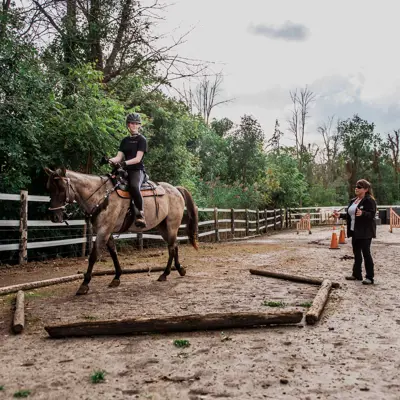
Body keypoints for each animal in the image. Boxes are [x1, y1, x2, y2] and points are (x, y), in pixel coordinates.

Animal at [44, 166, 198, 294]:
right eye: (48, 188)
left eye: (61, 188)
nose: (53, 216)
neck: (101, 195)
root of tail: (176, 189)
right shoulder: (107, 232)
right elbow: (113, 253)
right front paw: (116, 277)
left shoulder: (103, 231)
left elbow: (93, 256)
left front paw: (84, 284)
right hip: (162, 226)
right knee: (174, 244)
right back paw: (179, 269)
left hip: (172, 225)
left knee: (172, 247)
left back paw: (165, 274)